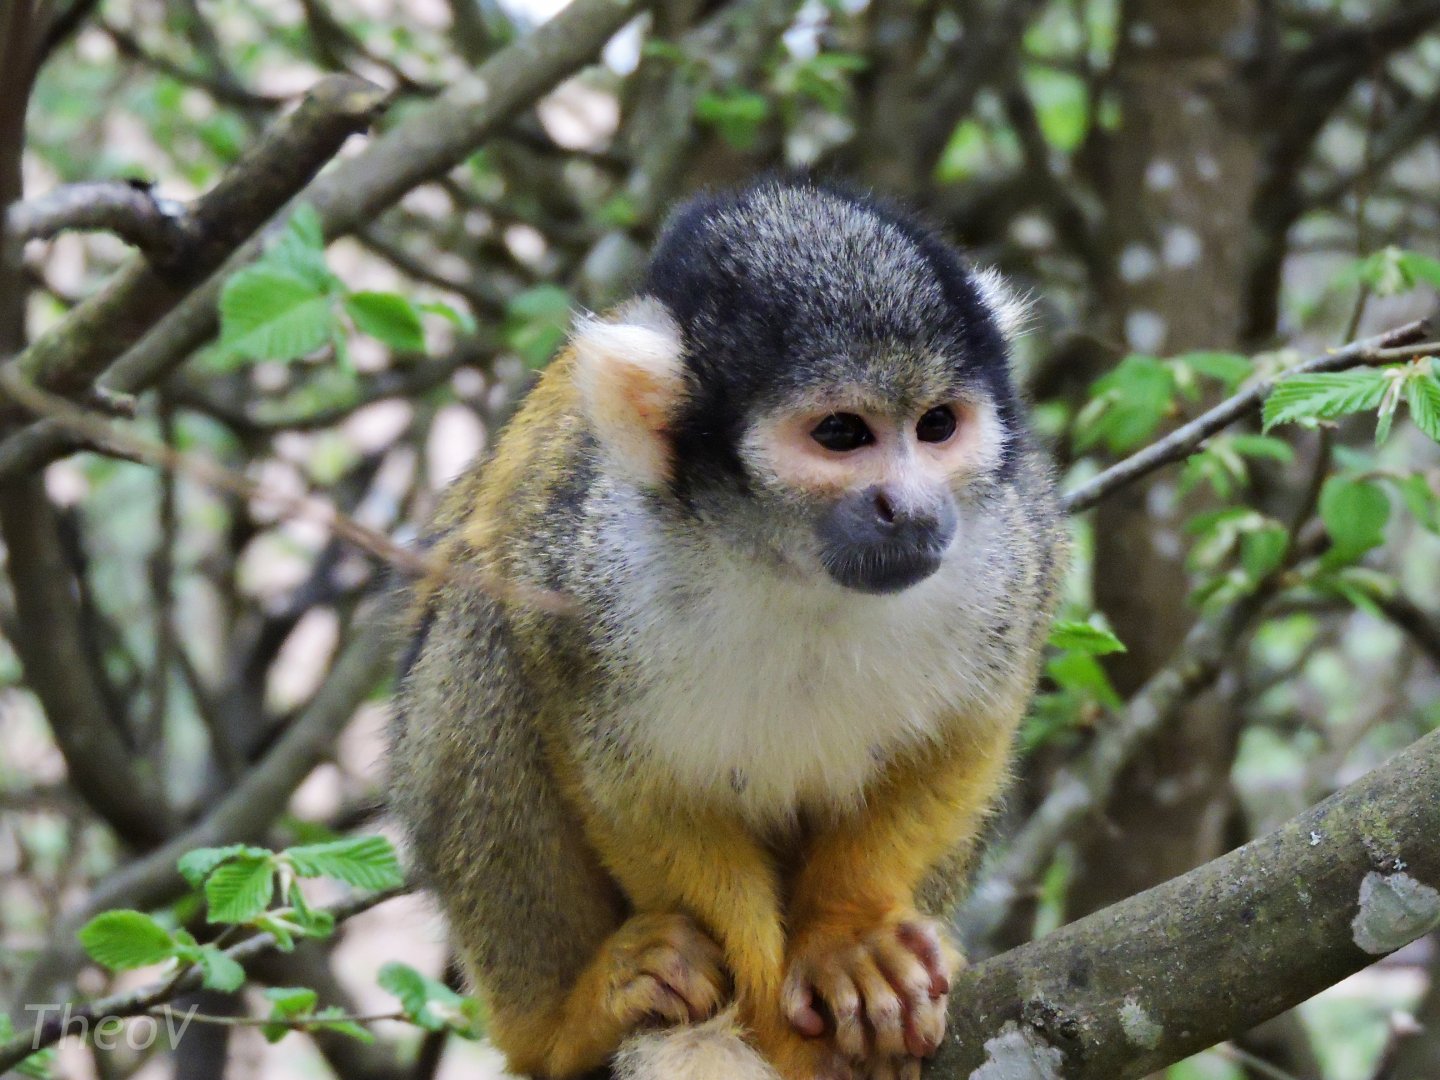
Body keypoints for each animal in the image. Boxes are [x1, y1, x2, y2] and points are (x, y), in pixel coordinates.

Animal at [389, 177, 1066, 1080]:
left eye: (937, 426)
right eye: (842, 433)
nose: (915, 508)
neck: (789, 566)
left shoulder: (1009, 551)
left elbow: (968, 730)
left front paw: (852, 938)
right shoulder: (586, 576)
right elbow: (631, 781)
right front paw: (773, 1027)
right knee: (481, 631)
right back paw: (563, 1023)